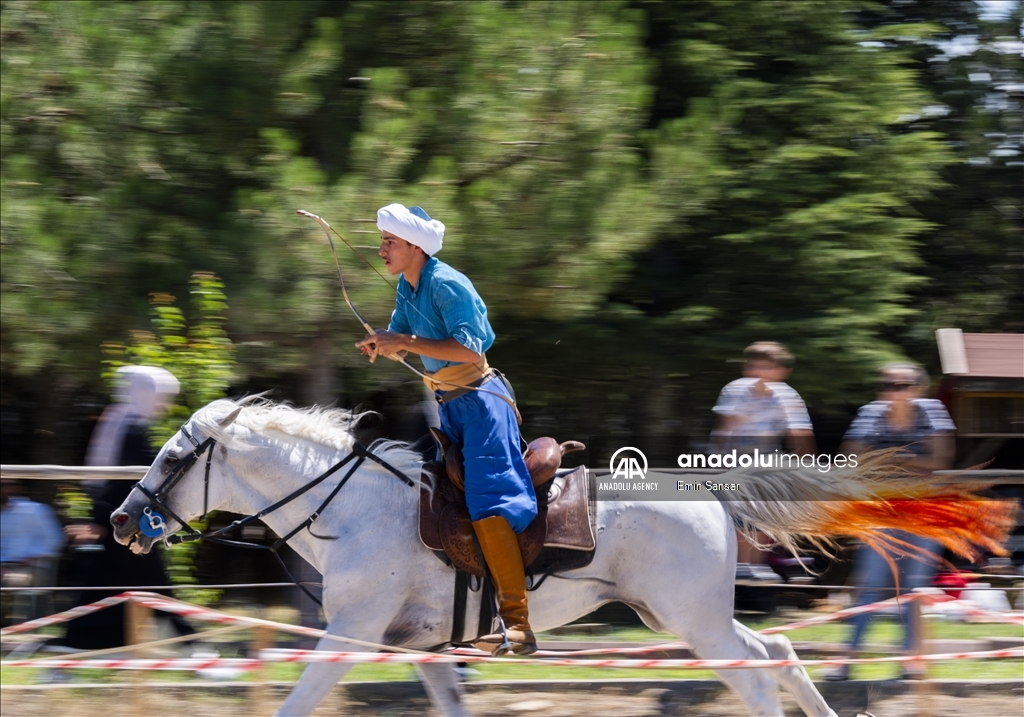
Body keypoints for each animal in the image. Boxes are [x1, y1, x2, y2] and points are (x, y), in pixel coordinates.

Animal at [110, 397, 1007, 717]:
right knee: (778, 652)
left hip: (691, 619)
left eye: (177, 454)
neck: (354, 506)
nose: (121, 518)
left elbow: (297, 703)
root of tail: (710, 491)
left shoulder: (350, 633)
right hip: (687, 615)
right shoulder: (420, 646)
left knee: (758, 672)